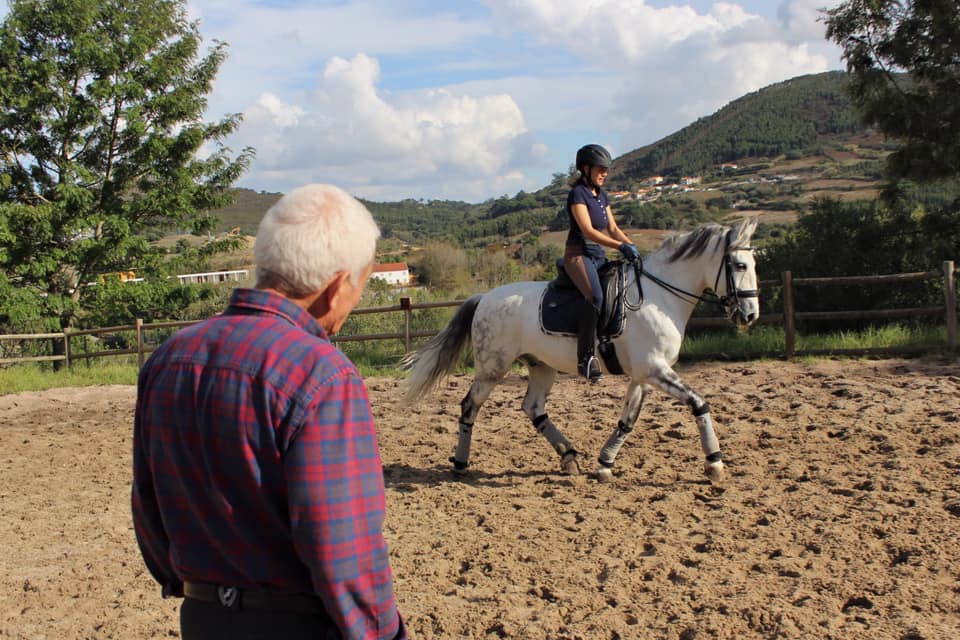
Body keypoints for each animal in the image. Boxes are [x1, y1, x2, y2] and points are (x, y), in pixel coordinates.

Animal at [402, 218, 760, 482]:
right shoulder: (655, 370)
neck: (660, 296)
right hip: (493, 367)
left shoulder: (643, 375)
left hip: (541, 365)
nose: (750, 315)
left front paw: (604, 465)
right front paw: (714, 463)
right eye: (740, 265)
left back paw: (569, 457)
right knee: (469, 406)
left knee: (533, 408)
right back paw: (461, 464)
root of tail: (484, 297)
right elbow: (699, 403)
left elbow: (628, 420)